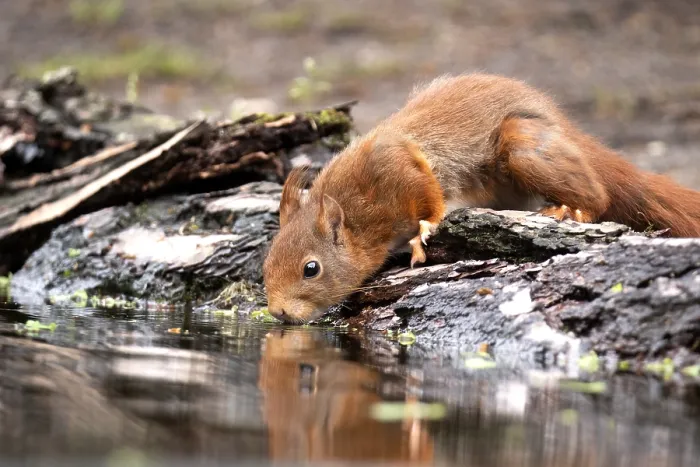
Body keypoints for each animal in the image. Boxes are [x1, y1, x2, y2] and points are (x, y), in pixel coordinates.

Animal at [262, 73, 700, 324]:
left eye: (311, 269)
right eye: (266, 265)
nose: (278, 313)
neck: (356, 216)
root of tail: (562, 126)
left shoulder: (394, 163)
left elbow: (429, 194)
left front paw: (423, 231)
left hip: (523, 146)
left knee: (597, 193)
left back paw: (573, 209)